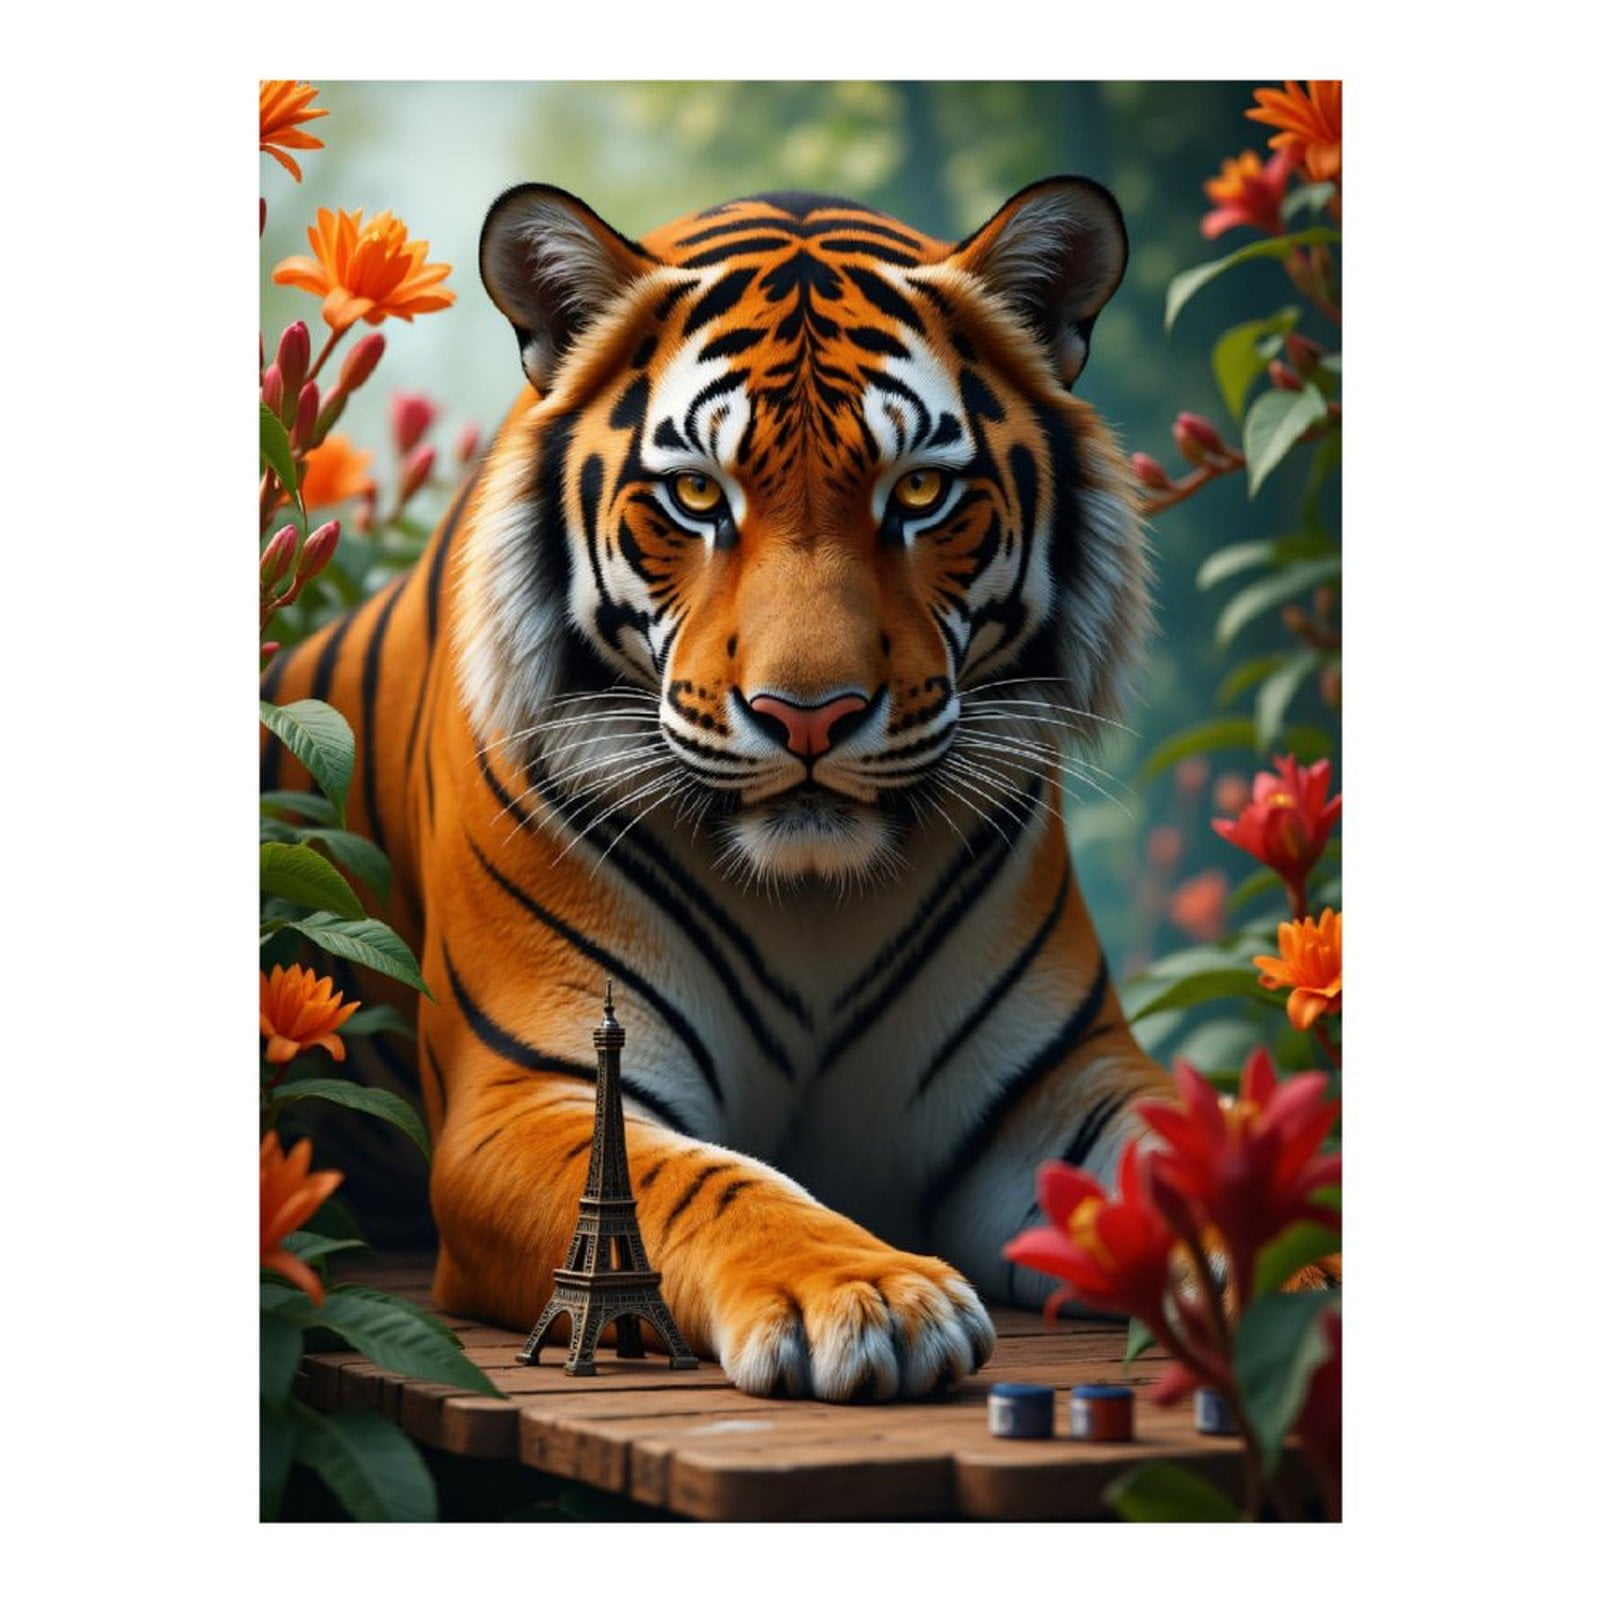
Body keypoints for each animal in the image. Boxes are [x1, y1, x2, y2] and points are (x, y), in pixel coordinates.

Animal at [261, 176, 1181, 1402]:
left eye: (921, 491)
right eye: (697, 495)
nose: (810, 716)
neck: (814, 902)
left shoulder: (1059, 1094)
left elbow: (1191, 1152)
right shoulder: (532, 1090)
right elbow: (704, 1181)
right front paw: (867, 1294)